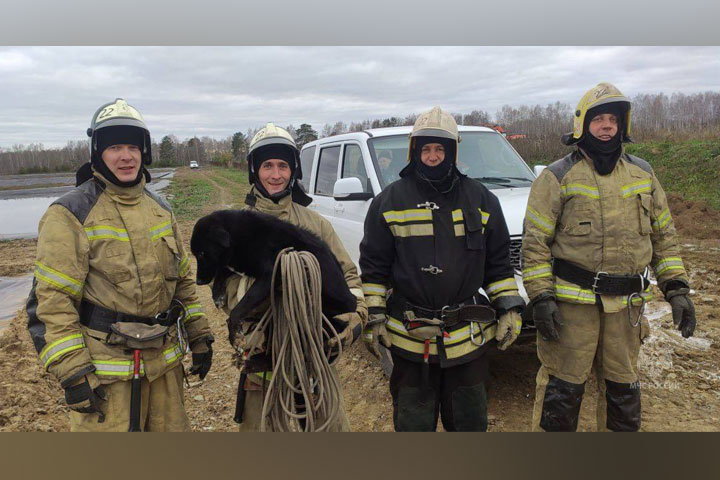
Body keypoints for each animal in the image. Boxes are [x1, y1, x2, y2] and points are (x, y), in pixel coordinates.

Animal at [190, 210, 356, 338]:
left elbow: (243, 303)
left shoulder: (270, 273)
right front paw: (217, 295)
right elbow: (221, 270)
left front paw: (233, 325)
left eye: (202, 253)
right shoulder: (236, 264)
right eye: (196, 254)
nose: (197, 281)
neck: (239, 237)